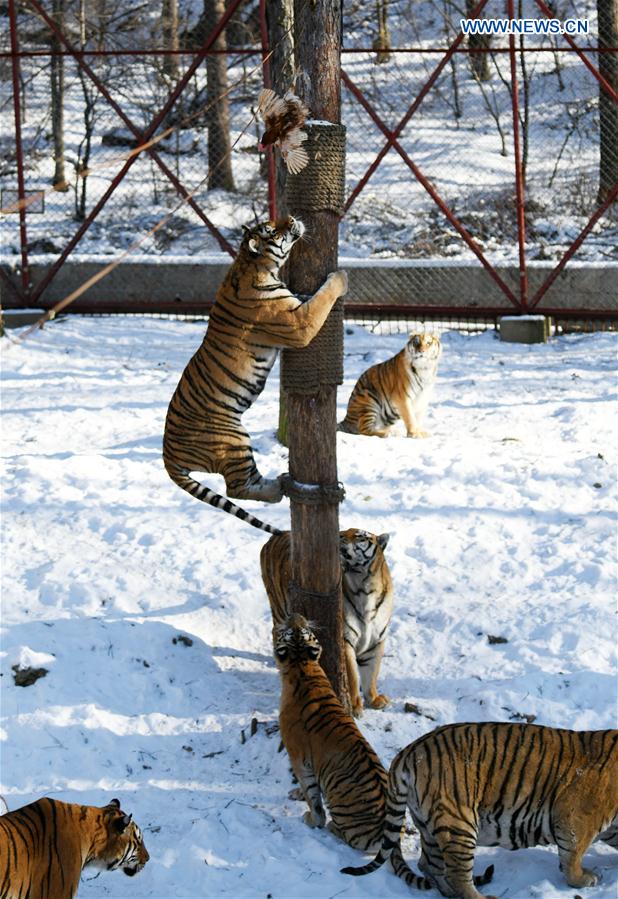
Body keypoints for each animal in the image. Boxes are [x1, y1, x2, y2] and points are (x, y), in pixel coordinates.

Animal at [163, 215, 348, 535]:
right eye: (273, 231)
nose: (293, 218)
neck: (250, 264)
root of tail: (167, 456)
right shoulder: (299, 323)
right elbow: (322, 299)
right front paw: (341, 277)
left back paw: (285, 482)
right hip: (233, 439)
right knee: (237, 488)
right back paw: (283, 488)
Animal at [261, 528, 394, 717]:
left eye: (359, 536)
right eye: (346, 530)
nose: (339, 535)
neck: (365, 586)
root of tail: (279, 534)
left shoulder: (376, 642)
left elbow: (372, 673)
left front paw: (374, 700)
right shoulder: (346, 641)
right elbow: (353, 677)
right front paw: (355, 707)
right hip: (279, 606)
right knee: (275, 631)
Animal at [274, 616, 494, 892]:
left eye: (293, 629)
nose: (297, 617)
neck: (302, 666)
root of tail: (394, 840)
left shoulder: (298, 758)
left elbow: (311, 794)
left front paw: (310, 816)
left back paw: (333, 827)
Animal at [342, 721, 618, 899]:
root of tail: (408, 751)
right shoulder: (576, 816)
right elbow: (572, 855)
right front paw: (583, 879)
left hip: (429, 827)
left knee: (430, 866)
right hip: (459, 823)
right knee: (456, 874)